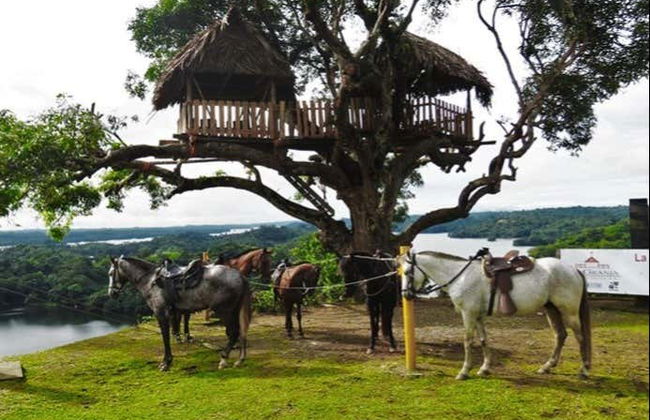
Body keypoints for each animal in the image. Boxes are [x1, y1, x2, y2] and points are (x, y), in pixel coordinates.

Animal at [108, 256, 252, 371]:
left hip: (224, 311)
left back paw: (224, 359)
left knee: (233, 333)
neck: (150, 281)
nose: (111, 293)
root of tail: (240, 276)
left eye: (110, 273)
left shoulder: (161, 313)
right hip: (233, 311)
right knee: (240, 332)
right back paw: (239, 359)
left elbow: (165, 336)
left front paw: (166, 363)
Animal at [397, 251, 592, 380]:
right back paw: (547, 367)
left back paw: (584, 370)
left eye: (407, 272)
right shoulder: (478, 316)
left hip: (569, 312)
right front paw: (484, 368)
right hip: (552, 310)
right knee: (560, 335)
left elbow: (468, 342)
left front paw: (464, 371)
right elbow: (484, 340)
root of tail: (573, 269)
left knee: (580, 337)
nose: (406, 295)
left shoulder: (468, 314)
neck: (460, 276)